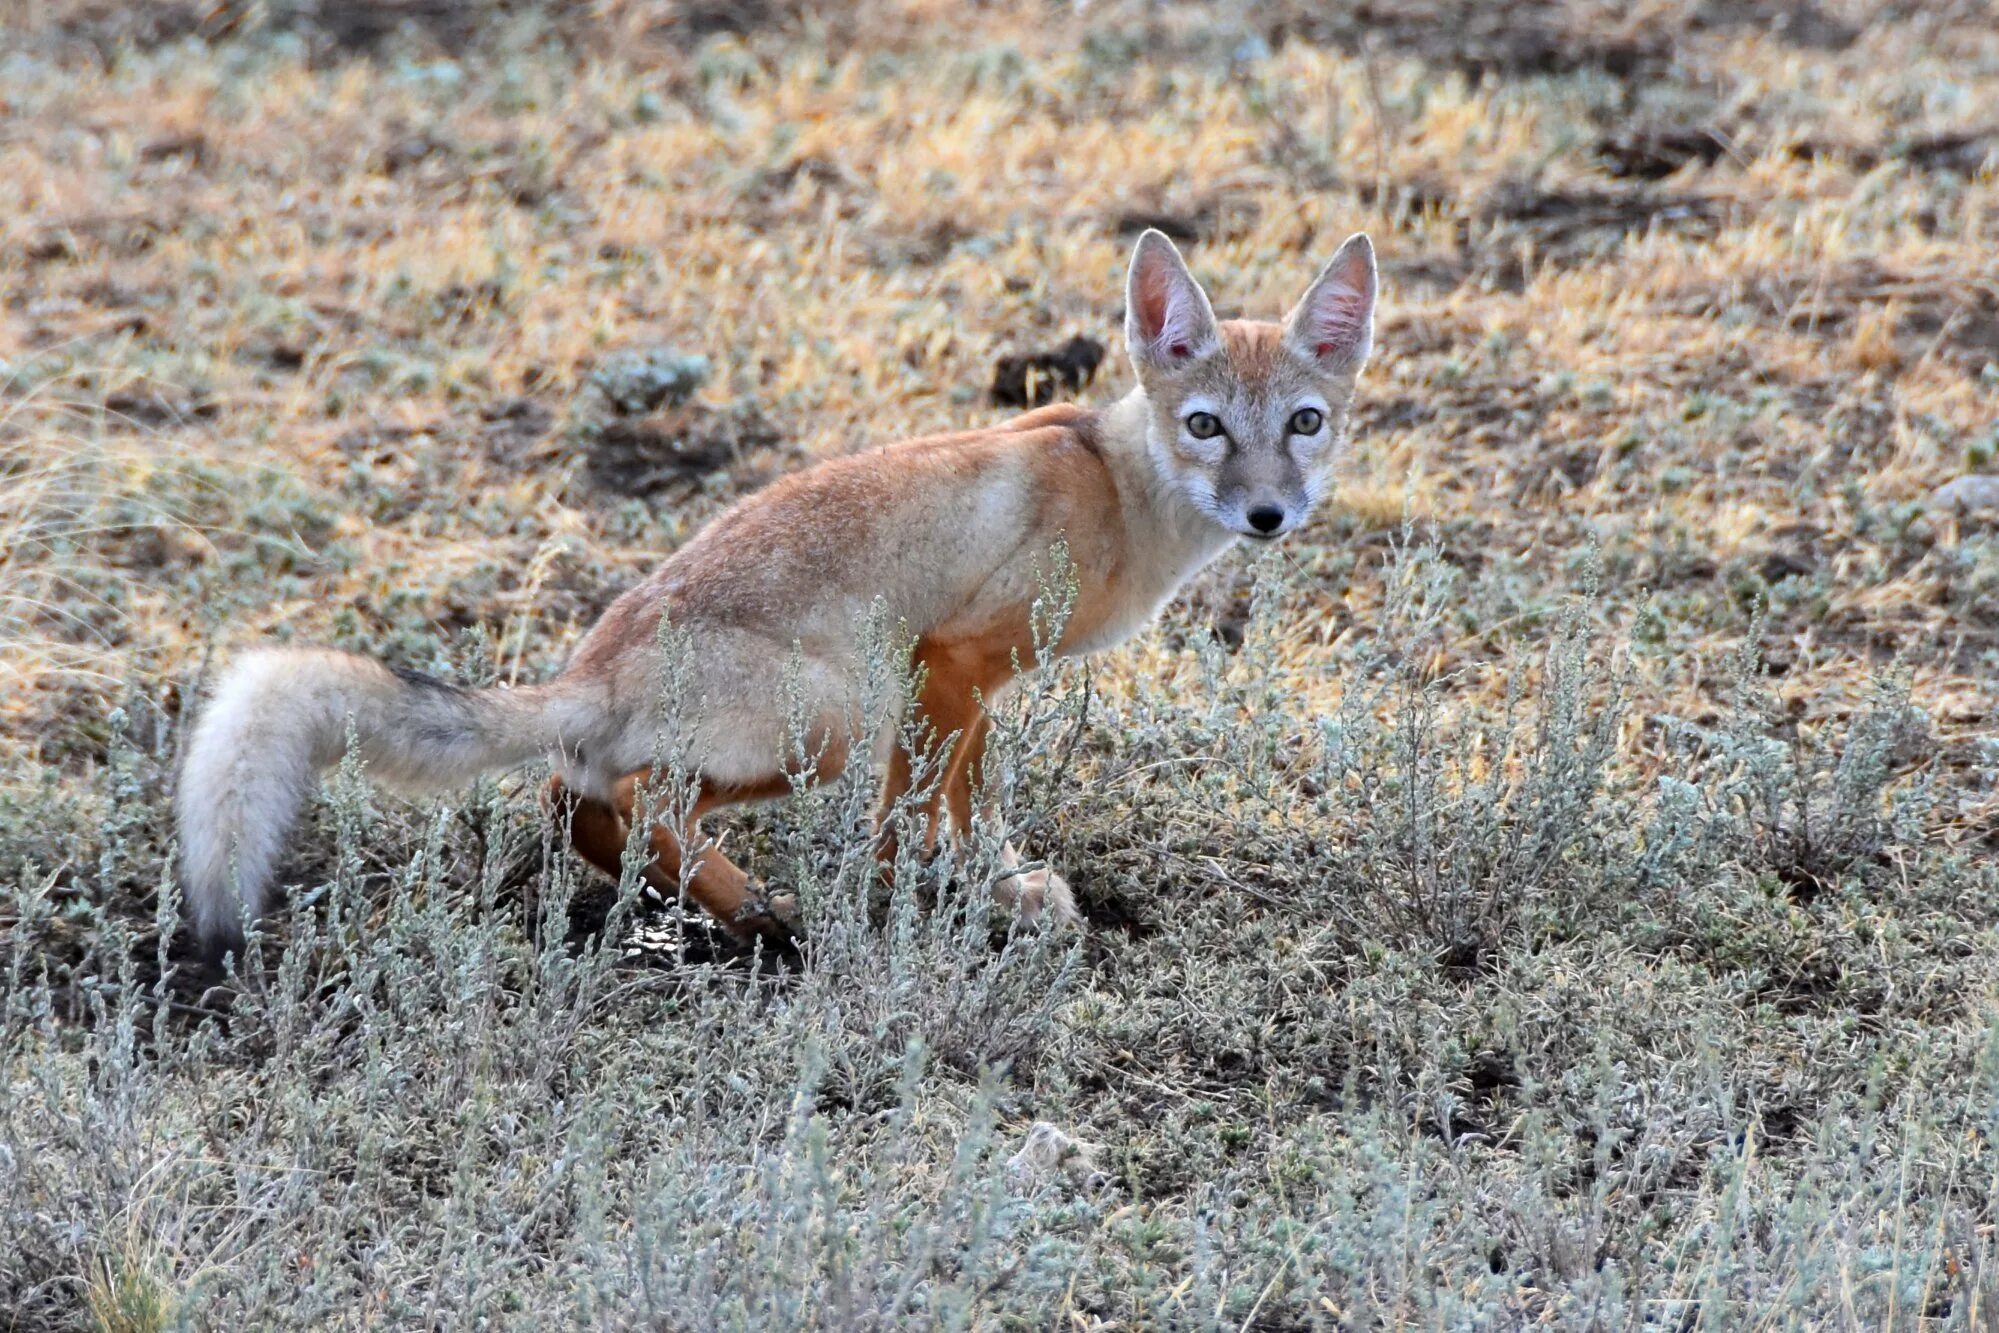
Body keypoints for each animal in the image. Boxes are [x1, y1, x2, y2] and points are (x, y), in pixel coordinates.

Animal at [179, 229, 1375, 959]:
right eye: (1205, 425)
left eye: (1304, 423)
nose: (1267, 515)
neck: (1115, 486)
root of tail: (590, 665)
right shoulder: (948, 662)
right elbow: (931, 819)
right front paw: (943, 907)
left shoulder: (953, 687)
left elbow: (943, 813)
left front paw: (963, 896)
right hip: (838, 717)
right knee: (634, 799)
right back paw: (761, 912)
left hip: (815, 726)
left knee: (576, 801)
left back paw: (729, 909)